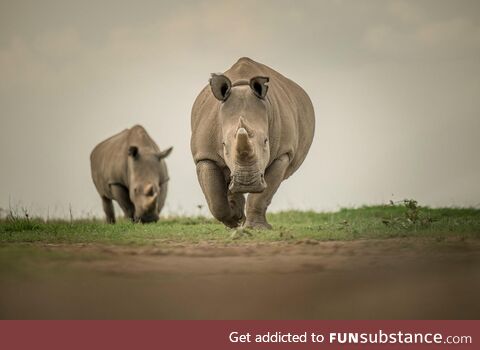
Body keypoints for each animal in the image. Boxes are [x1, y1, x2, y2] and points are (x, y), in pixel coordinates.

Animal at [191, 56, 316, 228]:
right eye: (223, 145)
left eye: (266, 141)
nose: (247, 183)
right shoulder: (205, 155)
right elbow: (215, 200)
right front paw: (235, 220)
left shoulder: (283, 153)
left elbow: (262, 195)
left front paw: (257, 228)